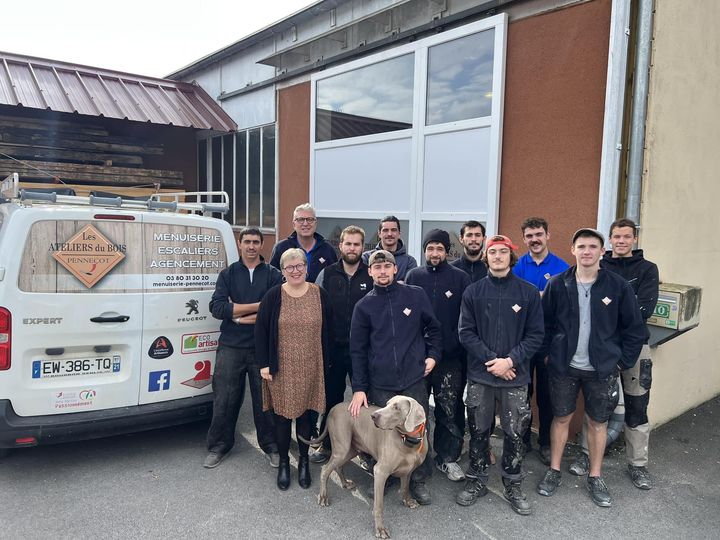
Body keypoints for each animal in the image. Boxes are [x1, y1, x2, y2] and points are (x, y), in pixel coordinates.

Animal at [302, 394, 428, 536]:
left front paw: (408, 501)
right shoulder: (380, 471)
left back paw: (345, 483)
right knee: (325, 469)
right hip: (342, 447)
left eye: (396, 408)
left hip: (351, 449)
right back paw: (323, 497)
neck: (408, 442)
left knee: (338, 466)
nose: (373, 416)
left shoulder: (408, 470)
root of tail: (333, 408)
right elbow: (379, 506)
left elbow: (405, 488)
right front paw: (380, 529)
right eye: (387, 404)